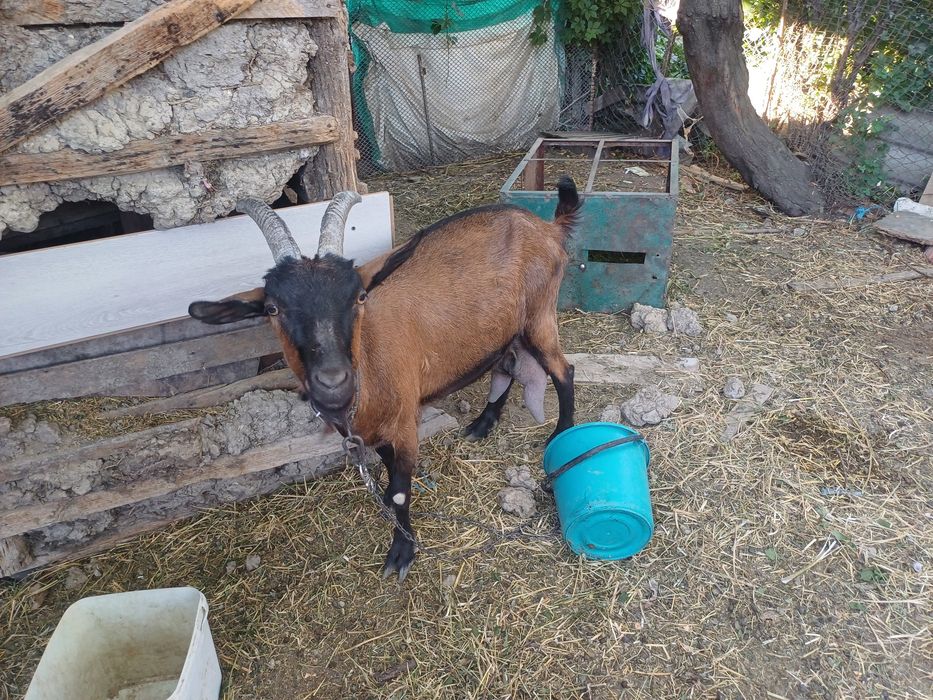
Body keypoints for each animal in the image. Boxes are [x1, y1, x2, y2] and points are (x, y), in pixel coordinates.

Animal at [188, 179, 580, 580]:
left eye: (360, 296)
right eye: (272, 308)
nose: (333, 380)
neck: (369, 365)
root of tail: (548, 227)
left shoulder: (406, 422)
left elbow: (399, 492)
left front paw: (402, 553)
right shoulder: (374, 434)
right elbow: (391, 480)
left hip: (540, 314)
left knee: (563, 371)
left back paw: (561, 434)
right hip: (507, 328)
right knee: (506, 366)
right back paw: (483, 423)